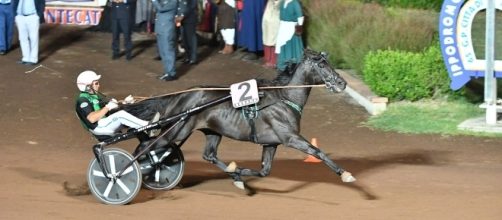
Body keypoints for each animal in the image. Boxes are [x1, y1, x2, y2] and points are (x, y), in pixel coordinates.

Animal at [123, 49, 354, 189]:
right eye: (322, 65)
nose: (341, 83)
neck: (284, 98)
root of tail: (180, 95)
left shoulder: (271, 143)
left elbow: (264, 171)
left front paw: (238, 172)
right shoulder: (290, 138)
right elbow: (317, 151)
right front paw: (345, 174)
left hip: (211, 131)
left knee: (208, 155)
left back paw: (234, 176)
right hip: (176, 130)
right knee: (144, 147)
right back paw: (125, 173)